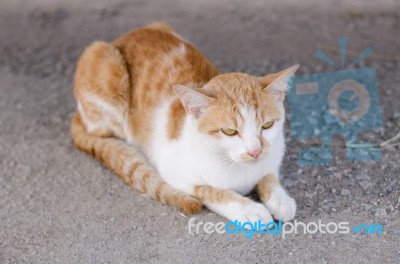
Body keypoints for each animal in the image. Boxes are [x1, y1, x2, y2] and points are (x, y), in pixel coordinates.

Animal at [71, 22, 296, 224]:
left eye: (267, 125)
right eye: (230, 131)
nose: (255, 151)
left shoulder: (272, 155)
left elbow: (269, 175)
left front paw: (280, 199)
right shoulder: (172, 170)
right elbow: (210, 190)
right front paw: (248, 209)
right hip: (103, 62)